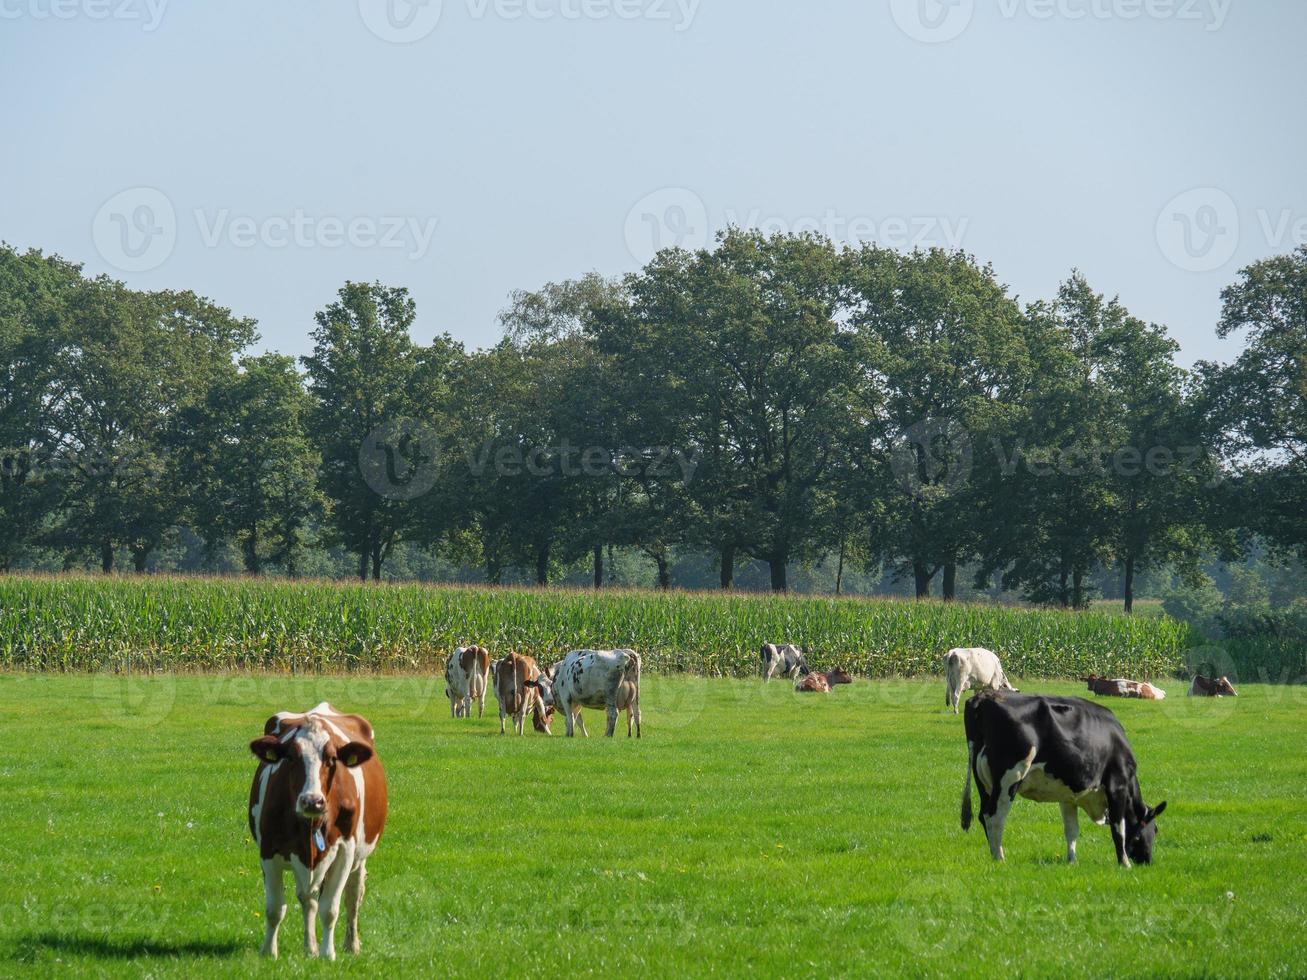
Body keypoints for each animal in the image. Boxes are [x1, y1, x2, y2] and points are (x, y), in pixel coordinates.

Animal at [245, 700, 384, 961]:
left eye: (332, 759)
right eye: (290, 758)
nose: (312, 801)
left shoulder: (345, 850)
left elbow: (330, 908)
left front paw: (328, 954)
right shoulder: (268, 850)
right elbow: (275, 908)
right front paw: (269, 951)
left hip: (359, 857)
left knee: (353, 896)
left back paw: (351, 944)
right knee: (307, 898)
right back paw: (310, 947)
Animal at [961, 689, 1165, 867]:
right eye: (1155, 829)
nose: (1148, 861)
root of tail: (984, 697)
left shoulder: (1068, 796)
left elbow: (1072, 829)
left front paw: (1072, 861)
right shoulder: (1117, 785)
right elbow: (1118, 828)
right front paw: (1124, 863)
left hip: (983, 782)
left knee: (983, 815)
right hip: (1010, 776)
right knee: (994, 816)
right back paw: (999, 859)